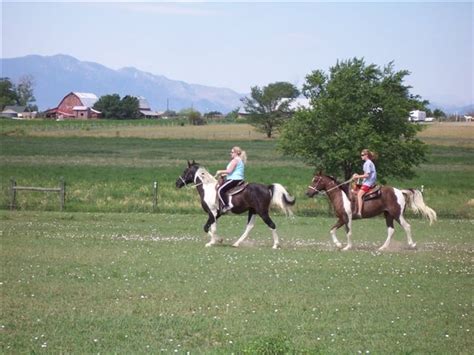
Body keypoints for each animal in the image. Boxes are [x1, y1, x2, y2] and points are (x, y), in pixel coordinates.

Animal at [308, 174, 436, 252]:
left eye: (316, 180)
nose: (307, 193)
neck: (341, 196)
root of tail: (400, 191)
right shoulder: (341, 218)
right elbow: (332, 230)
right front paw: (339, 244)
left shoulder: (347, 218)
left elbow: (348, 232)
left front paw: (347, 247)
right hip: (388, 215)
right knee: (391, 230)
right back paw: (382, 248)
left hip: (397, 215)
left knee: (407, 226)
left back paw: (411, 244)